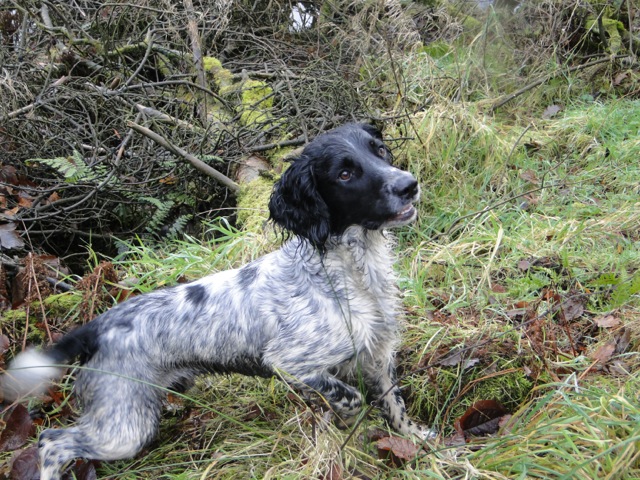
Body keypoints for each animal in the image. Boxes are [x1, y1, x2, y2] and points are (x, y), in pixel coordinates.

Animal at [1, 122, 430, 478]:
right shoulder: (292, 364)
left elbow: (395, 404)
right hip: (123, 426)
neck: (350, 273)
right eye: (344, 174)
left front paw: (419, 442)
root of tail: (99, 325)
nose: (409, 185)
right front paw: (350, 430)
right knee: (52, 441)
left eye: (380, 150)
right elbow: (351, 398)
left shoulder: (379, 353)